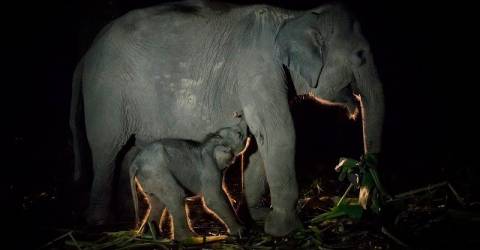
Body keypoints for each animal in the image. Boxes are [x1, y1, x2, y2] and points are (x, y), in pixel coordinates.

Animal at [69, 0, 384, 237]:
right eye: (360, 55)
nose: (368, 204)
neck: (293, 16)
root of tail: (86, 54)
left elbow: (259, 142)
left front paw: (257, 217)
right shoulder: (257, 70)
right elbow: (279, 133)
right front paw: (284, 230)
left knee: (128, 151)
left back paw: (127, 218)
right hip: (107, 96)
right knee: (107, 151)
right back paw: (100, 221)